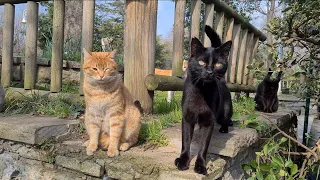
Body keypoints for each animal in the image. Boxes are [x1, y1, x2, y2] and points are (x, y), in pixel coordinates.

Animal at [175, 25, 232, 174]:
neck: (202, 91)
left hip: (224, 112)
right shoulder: (187, 118)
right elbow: (186, 142)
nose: (210, 72)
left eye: (218, 64)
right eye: (201, 62)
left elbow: (204, 146)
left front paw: (201, 165)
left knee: (226, 119)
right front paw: (183, 160)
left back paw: (225, 128)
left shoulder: (208, 122)